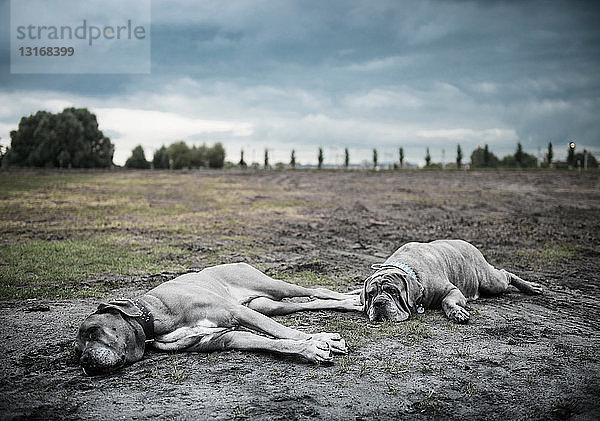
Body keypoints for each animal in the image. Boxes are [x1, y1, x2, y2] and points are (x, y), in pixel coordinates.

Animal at [360, 238, 544, 324]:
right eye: (370, 294)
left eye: (393, 291)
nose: (379, 303)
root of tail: (468, 243)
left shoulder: (453, 291)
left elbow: (446, 301)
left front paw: (457, 313)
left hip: (490, 281)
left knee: (506, 274)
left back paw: (531, 287)